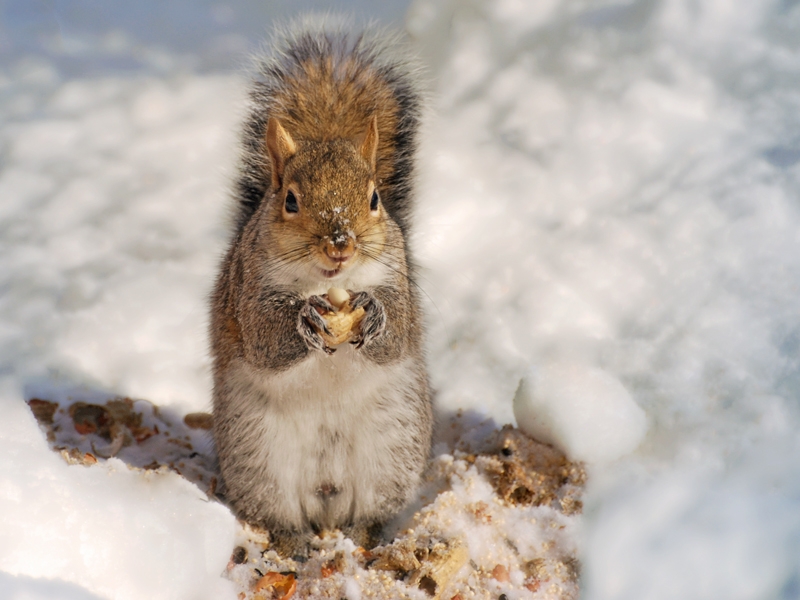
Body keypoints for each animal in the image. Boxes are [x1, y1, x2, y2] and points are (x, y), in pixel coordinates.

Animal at [206, 19, 432, 556]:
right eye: (290, 200)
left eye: (374, 198)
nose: (340, 245)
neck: (328, 285)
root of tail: (327, 499)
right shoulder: (247, 291)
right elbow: (265, 337)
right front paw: (304, 318)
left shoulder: (399, 279)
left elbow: (397, 333)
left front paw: (373, 313)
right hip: (258, 456)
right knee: (281, 514)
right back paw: (294, 544)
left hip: (391, 447)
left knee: (370, 512)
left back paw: (361, 537)